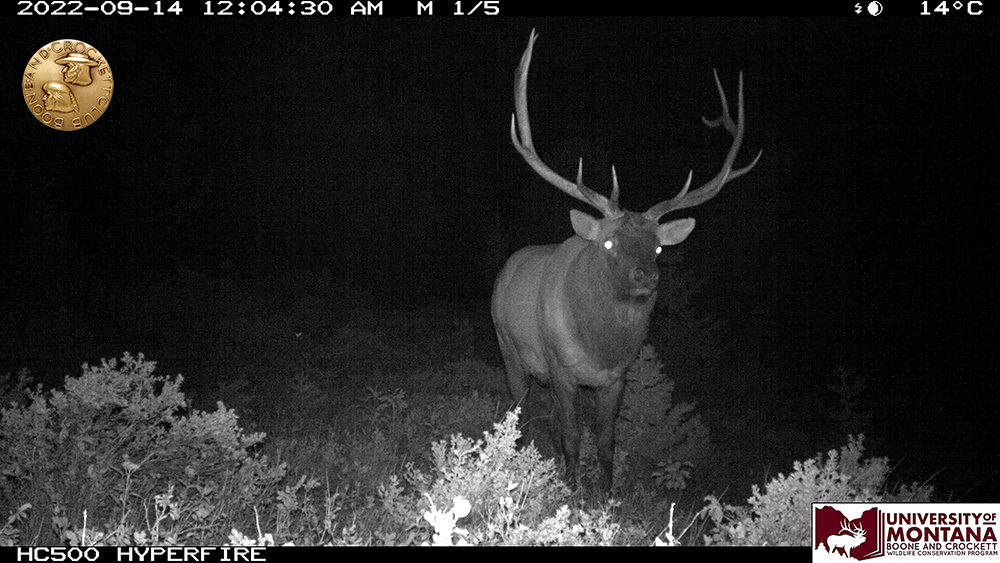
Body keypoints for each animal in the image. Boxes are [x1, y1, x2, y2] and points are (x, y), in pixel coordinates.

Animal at [491, 29, 761, 491]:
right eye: (609, 244)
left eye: (658, 247)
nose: (645, 276)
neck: (599, 347)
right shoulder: (561, 368)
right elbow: (571, 433)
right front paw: (573, 488)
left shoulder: (617, 377)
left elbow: (605, 438)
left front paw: (605, 491)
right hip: (509, 346)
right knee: (519, 410)